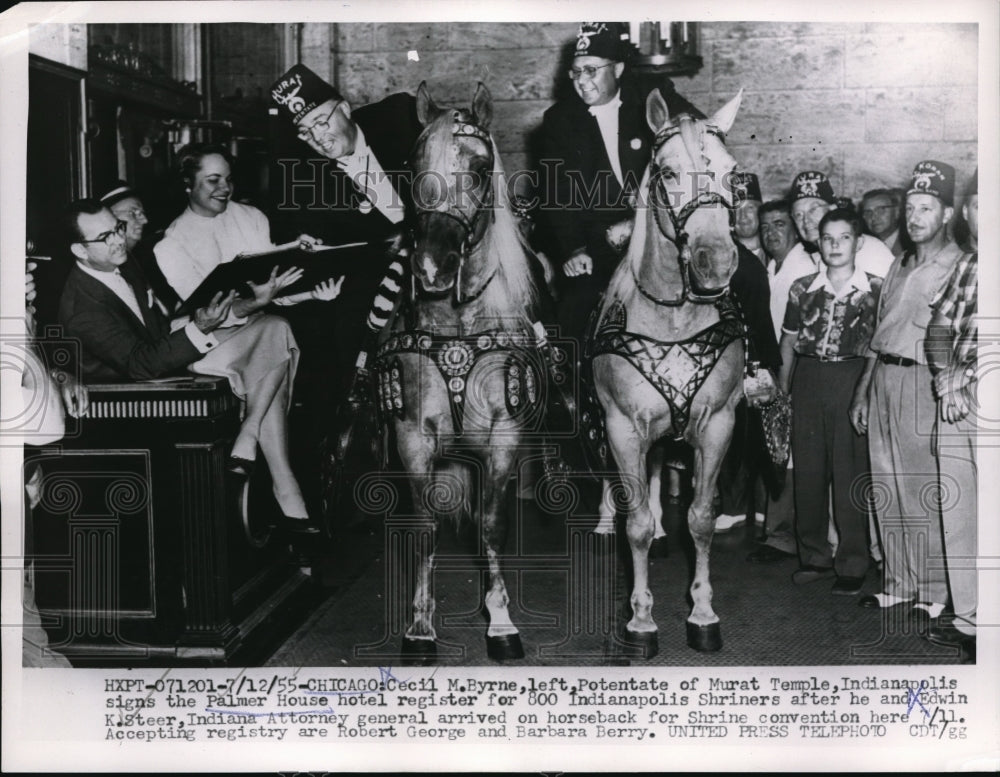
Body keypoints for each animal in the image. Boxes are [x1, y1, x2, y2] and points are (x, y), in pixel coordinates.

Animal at [376, 83, 548, 668]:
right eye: (412, 164)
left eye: (477, 167)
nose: (431, 267)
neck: (457, 328)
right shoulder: (412, 437)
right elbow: (425, 529)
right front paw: (420, 628)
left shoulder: (503, 437)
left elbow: (492, 525)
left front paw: (501, 623)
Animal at [588, 88, 748, 656]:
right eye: (668, 170)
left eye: (732, 172)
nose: (715, 262)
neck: (673, 317)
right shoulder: (622, 427)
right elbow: (634, 524)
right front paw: (640, 621)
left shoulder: (719, 423)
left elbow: (699, 519)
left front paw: (702, 612)